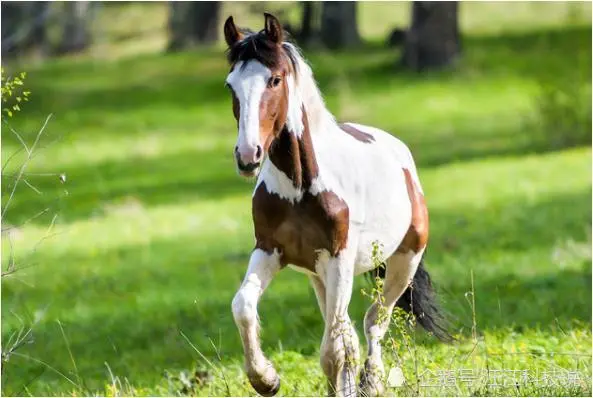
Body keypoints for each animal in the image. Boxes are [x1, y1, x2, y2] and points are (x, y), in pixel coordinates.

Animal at [222, 13, 448, 398]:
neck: (300, 188)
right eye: (230, 85)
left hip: (403, 262)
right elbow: (244, 306)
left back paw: (372, 381)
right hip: (318, 275)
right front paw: (265, 378)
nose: (248, 156)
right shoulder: (270, 250)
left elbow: (334, 347)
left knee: (373, 322)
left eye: (275, 79)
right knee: (350, 333)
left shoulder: (338, 258)